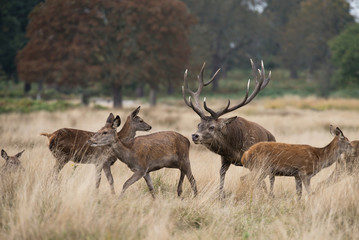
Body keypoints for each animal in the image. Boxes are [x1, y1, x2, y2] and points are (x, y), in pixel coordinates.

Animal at [183, 59, 276, 199]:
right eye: (198, 125)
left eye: (212, 127)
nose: (195, 135)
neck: (234, 148)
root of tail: (272, 136)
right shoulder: (225, 159)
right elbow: (222, 175)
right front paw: (221, 196)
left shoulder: (254, 162)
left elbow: (255, 180)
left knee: (270, 178)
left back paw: (270, 195)